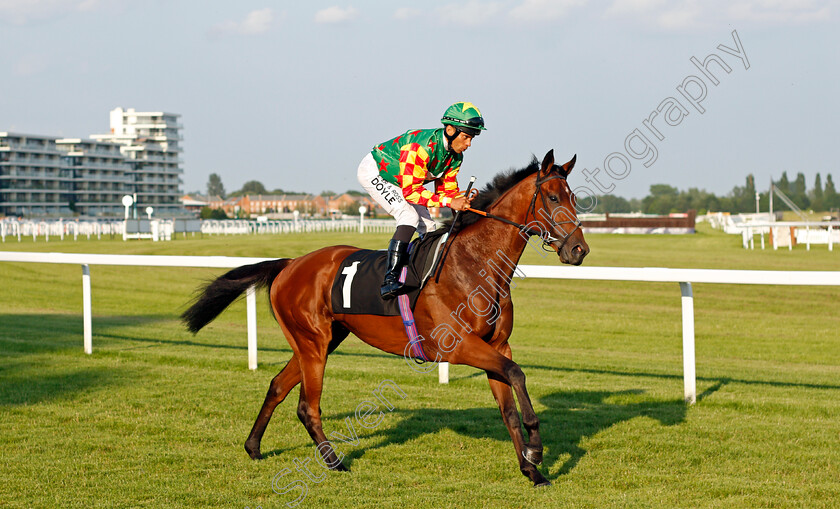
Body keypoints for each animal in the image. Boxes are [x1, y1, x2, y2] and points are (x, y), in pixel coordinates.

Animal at [182, 149, 592, 486]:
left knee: (277, 387)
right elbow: (517, 374)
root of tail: (290, 264)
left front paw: (531, 470)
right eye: (552, 197)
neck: (474, 265)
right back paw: (334, 462)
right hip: (313, 342)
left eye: (573, 198)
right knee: (307, 406)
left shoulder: (497, 344)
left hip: (321, 340)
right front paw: (536, 450)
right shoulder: (458, 347)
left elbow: (508, 405)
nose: (579, 249)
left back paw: (253, 447)